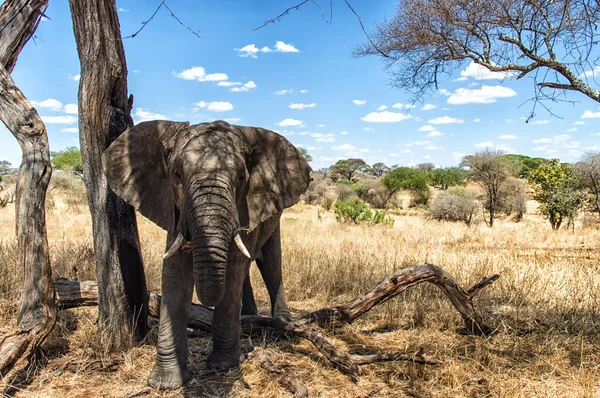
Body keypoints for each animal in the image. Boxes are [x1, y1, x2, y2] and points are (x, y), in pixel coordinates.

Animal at [101, 119, 312, 388]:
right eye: (177, 175)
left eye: (241, 177)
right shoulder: (174, 209)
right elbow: (174, 273)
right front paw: (165, 382)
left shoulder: (246, 207)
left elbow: (232, 270)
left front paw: (224, 365)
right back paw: (248, 317)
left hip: (273, 217)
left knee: (270, 265)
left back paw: (281, 324)